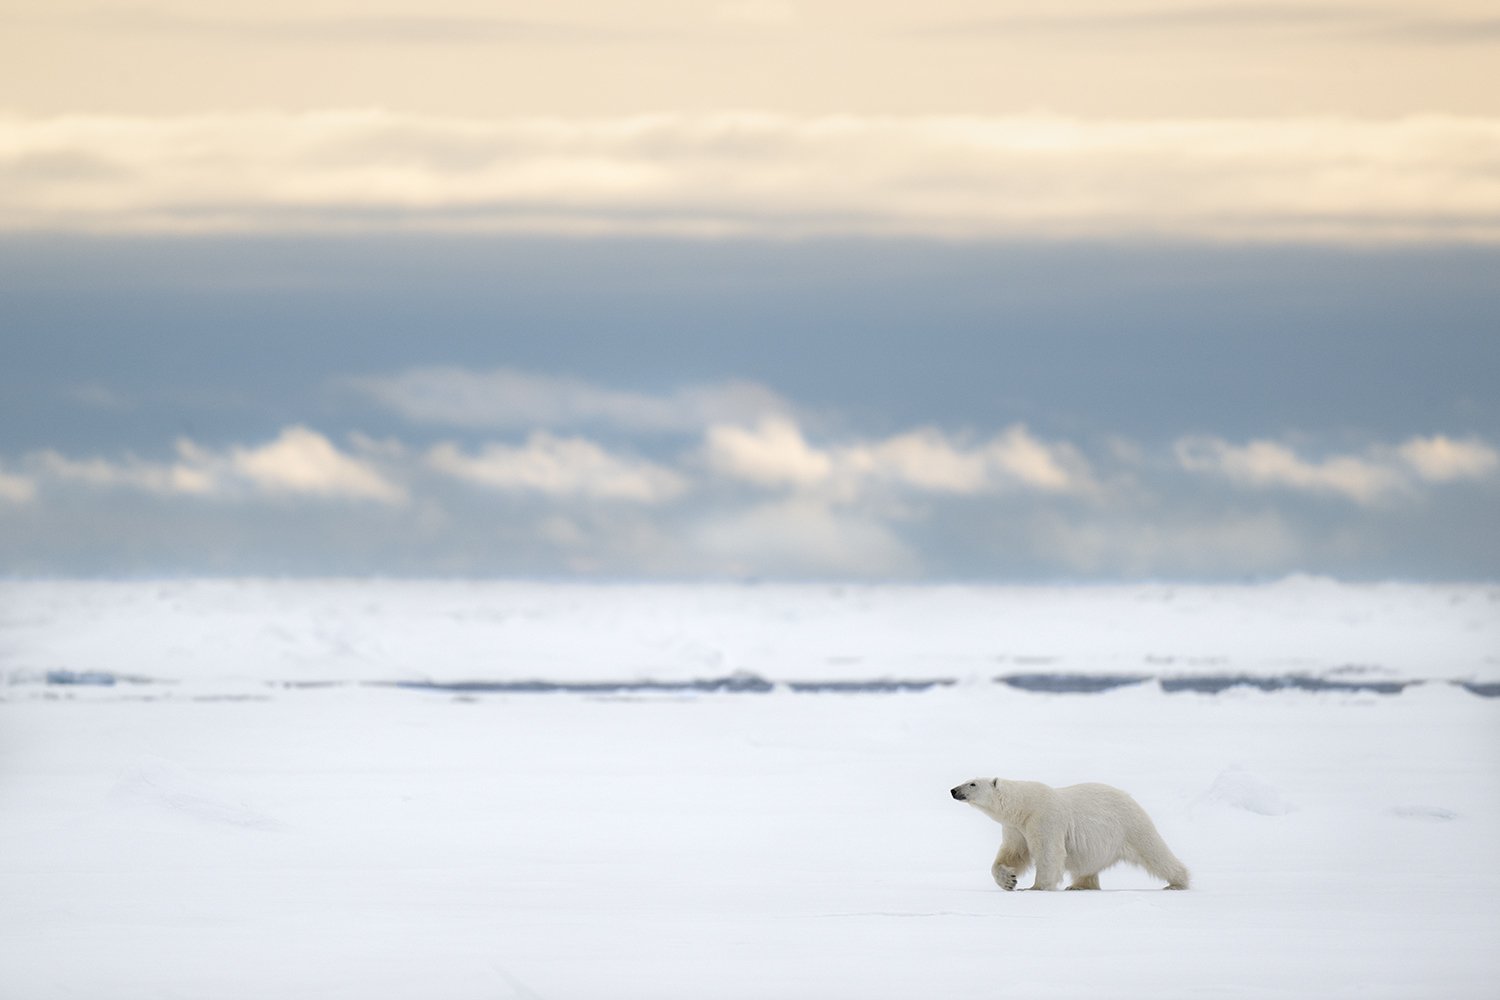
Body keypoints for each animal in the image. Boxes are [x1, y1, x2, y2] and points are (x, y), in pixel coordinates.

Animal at [951, 777, 1190, 891]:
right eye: (967, 779)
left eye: (972, 783)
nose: (953, 790)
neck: (1023, 807)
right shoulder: (1016, 828)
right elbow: (1013, 854)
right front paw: (1009, 880)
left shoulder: (1044, 817)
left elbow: (1049, 853)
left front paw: (1036, 887)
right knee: (1087, 866)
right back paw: (1079, 885)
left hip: (1130, 825)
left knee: (1154, 852)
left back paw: (1178, 882)